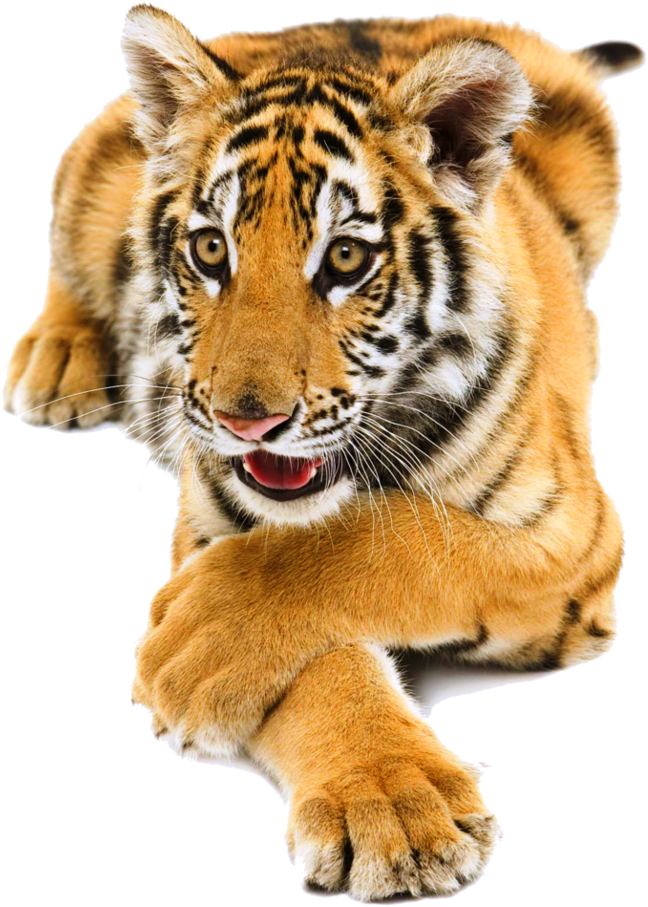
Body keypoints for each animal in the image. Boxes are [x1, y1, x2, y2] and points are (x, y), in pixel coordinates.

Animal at [3, 5, 642, 901]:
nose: (247, 423)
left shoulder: (578, 530)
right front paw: (393, 804)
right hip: (90, 173)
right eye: (210, 251)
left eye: (345, 258)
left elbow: (402, 541)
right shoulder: (215, 516)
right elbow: (328, 655)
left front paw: (200, 638)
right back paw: (57, 363)